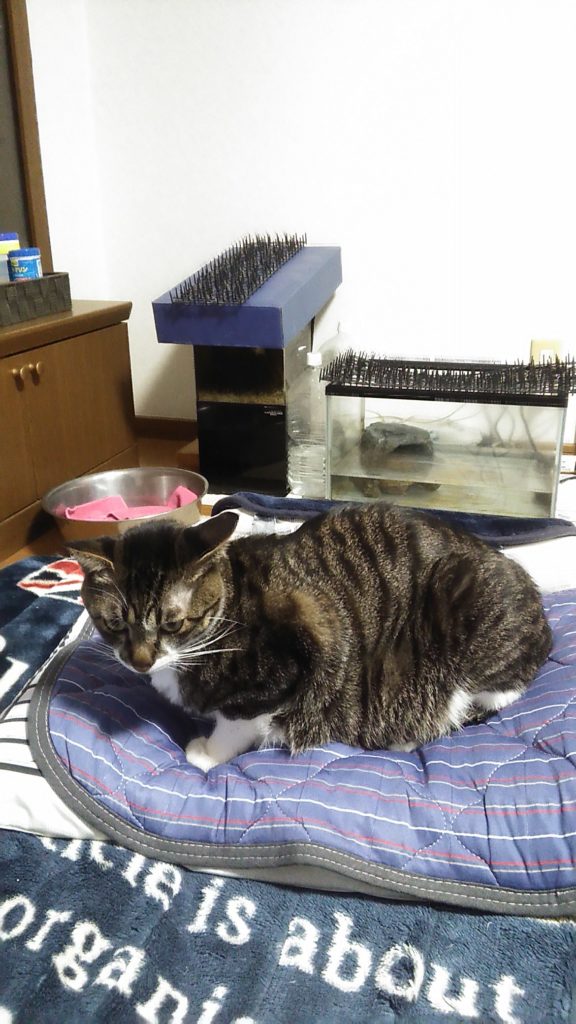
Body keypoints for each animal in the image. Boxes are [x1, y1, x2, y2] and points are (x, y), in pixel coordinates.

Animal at [68, 502, 552, 772]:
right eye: (115, 624)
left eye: (172, 624)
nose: (140, 661)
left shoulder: (293, 659)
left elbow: (237, 721)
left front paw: (207, 752)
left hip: (468, 615)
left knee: (488, 699)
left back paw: (411, 731)